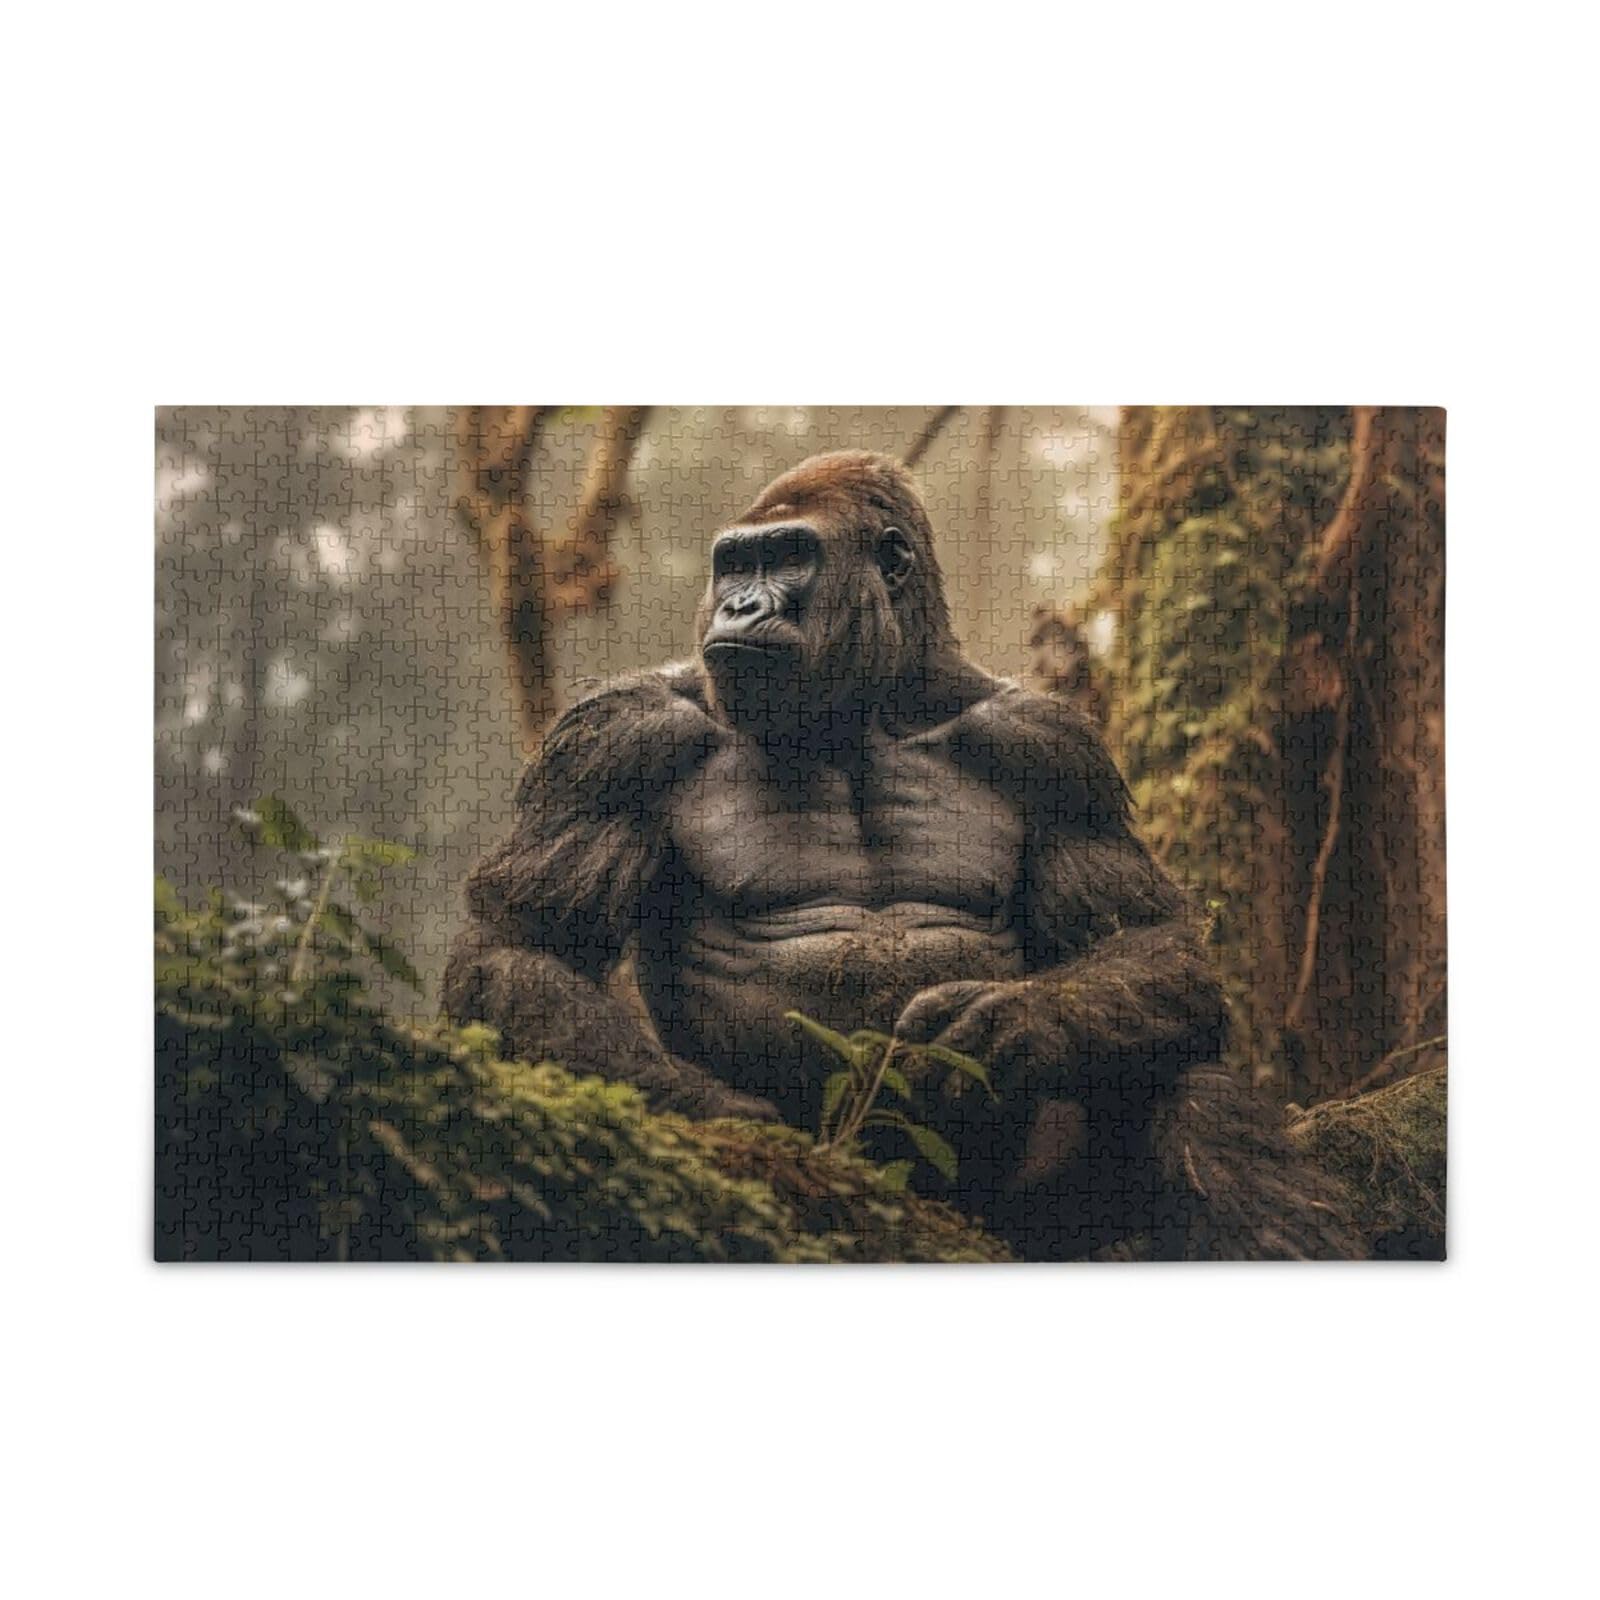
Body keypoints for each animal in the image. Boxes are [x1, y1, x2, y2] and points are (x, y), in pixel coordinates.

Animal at [445, 451, 1359, 1259]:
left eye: (788, 555)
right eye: (733, 562)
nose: (738, 608)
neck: (871, 706)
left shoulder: (1055, 747)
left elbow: (1152, 946)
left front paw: (1014, 1021)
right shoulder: (615, 738)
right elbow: (521, 948)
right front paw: (731, 1118)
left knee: (1183, 1068)